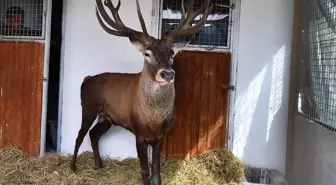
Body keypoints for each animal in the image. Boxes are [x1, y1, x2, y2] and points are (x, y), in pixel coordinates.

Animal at [70, 0, 213, 184]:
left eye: (172, 54)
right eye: (147, 53)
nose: (167, 74)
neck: (154, 121)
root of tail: (86, 79)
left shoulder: (161, 136)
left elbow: (156, 172)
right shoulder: (138, 132)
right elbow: (145, 170)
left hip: (107, 118)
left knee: (94, 134)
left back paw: (99, 165)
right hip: (87, 107)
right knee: (80, 134)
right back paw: (73, 168)